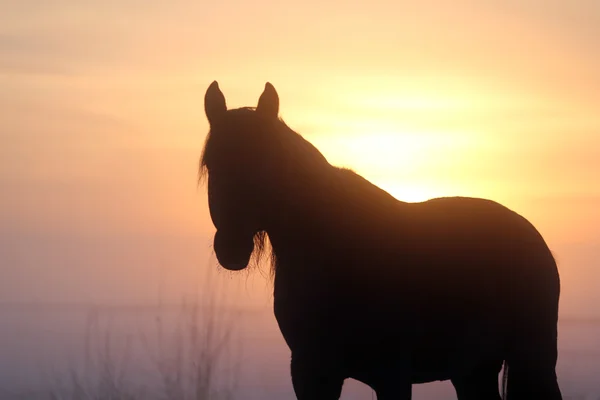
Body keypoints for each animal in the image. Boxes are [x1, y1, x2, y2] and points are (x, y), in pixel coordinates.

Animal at [200, 81, 564, 400]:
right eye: (212, 164)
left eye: (266, 161)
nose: (231, 248)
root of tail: (530, 235)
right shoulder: (311, 372)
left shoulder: (391, 375)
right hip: (473, 370)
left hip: (532, 359)